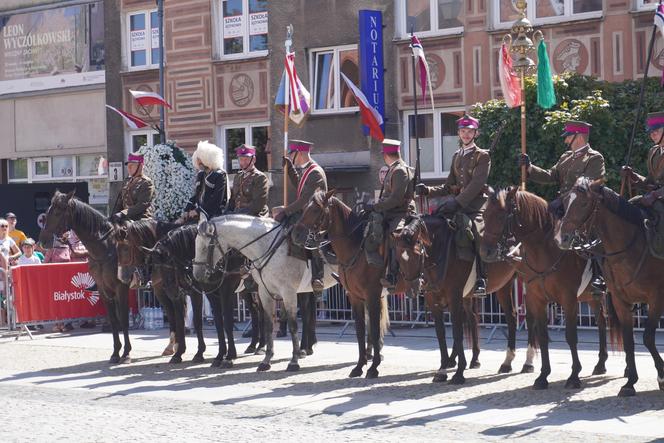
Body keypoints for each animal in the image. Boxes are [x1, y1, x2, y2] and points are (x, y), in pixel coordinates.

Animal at [39, 191, 134, 364]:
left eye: (57, 212)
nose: (43, 240)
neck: (106, 248)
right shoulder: (104, 289)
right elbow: (114, 320)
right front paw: (115, 353)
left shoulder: (121, 288)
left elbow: (123, 319)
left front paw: (126, 353)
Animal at [192, 213, 338, 372]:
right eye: (195, 245)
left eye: (205, 247)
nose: (197, 275)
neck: (267, 248)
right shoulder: (264, 292)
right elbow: (267, 324)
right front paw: (266, 360)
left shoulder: (288, 293)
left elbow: (293, 326)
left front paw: (293, 362)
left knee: (305, 316)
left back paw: (303, 350)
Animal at [290, 190, 390, 378]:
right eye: (305, 207)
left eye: (315, 209)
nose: (296, 234)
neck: (357, 248)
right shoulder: (355, 297)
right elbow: (360, 330)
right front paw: (359, 366)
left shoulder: (372, 295)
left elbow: (373, 329)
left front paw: (373, 367)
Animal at [480, 189, 608, 390]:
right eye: (484, 215)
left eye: (501, 216)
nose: (485, 252)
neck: (545, 250)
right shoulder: (537, 299)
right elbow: (543, 335)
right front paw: (543, 376)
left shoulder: (569, 300)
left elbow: (571, 336)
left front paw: (574, 376)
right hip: (590, 297)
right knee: (601, 322)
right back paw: (601, 363)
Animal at [556, 178, 660, 398]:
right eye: (566, 202)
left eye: (584, 203)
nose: (562, 238)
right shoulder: (621, 301)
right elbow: (629, 340)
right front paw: (630, 382)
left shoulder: (657, 298)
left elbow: (647, 337)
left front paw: (661, 376)